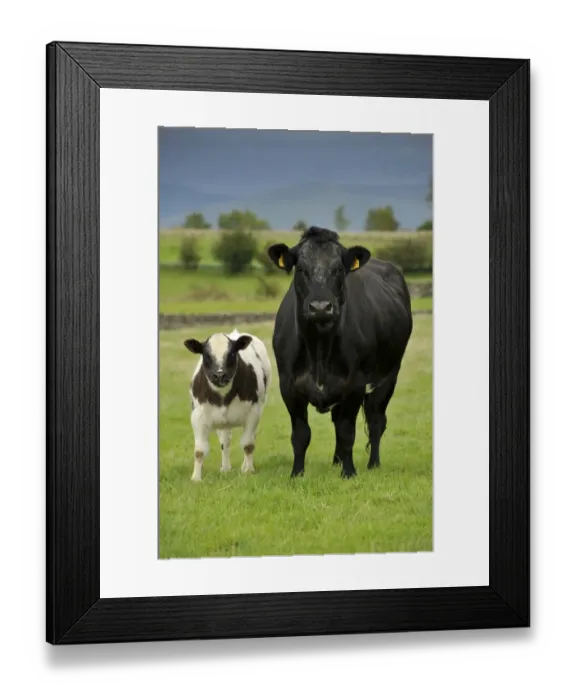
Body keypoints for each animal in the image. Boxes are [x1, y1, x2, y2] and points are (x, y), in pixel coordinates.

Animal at [183, 329, 272, 482]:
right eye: (206, 355)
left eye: (232, 354)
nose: (220, 375)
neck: (223, 396)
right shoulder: (197, 416)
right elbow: (199, 451)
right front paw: (196, 478)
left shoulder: (253, 413)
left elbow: (248, 444)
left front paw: (248, 470)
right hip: (223, 422)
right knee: (225, 441)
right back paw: (225, 468)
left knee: (249, 438)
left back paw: (245, 466)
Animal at [267, 226, 413, 479]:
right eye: (301, 268)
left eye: (338, 269)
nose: (320, 307)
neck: (319, 348)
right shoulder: (288, 385)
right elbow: (301, 434)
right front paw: (297, 474)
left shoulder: (354, 384)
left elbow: (347, 432)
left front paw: (349, 472)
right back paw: (336, 461)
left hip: (388, 376)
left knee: (376, 420)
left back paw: (373, 464)